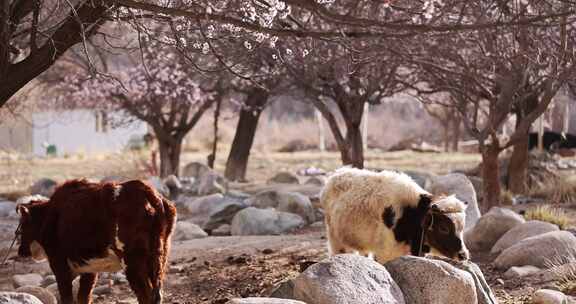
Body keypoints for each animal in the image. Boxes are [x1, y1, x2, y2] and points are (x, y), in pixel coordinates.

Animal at [16, 179, 178, 302]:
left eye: (22, 225)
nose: (20, 251)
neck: (49, 216)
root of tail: (149, 193)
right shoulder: (89, 269)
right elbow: (83, 297)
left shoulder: (60, 265)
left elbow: (68, 298)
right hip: (159, 258)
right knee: (156, 295)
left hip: (133, 261)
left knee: (145, 295)